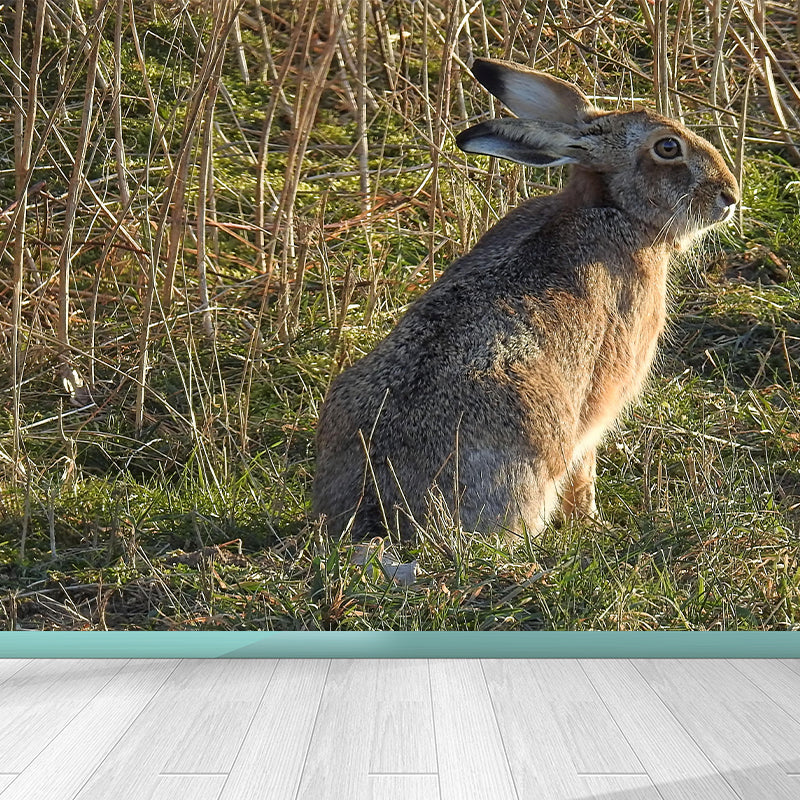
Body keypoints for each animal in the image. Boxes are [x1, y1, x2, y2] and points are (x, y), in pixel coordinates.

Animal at [313, 58, 739, 544]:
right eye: (668, 147)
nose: (730, 195)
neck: (615, 209)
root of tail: (377, 502)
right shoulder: (598, 404)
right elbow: (585, 466)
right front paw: (591, 522)